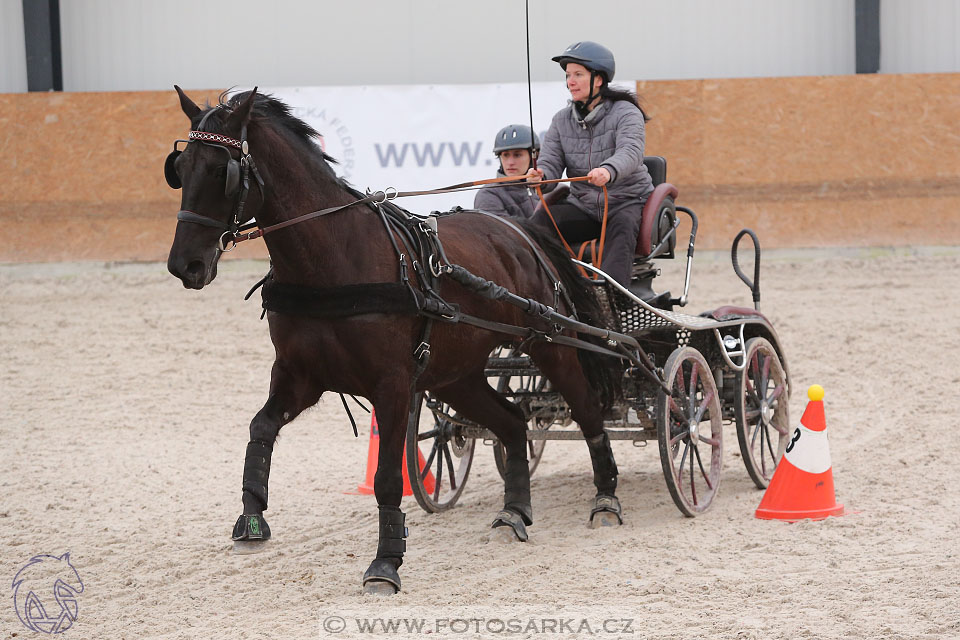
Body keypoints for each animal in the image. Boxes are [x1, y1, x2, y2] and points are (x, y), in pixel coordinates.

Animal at [167, 86, 624, 596]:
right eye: (180, 168)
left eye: (220, 172)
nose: (184, 264)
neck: (333, 258)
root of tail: (521, 231)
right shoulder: (298, 375)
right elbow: (260, 429)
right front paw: (251, 521)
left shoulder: (392, 384)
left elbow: (387, 478)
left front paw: (385, 563)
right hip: (455, 375)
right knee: (511, 422)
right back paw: (514, 512)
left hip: (551, 344)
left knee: (587, 411)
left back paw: (605, 499)